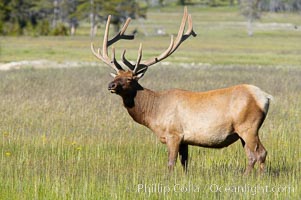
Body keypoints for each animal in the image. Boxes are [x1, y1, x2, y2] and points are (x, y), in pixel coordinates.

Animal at [90, 7, 270, 174]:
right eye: (116, 76)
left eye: (129, 79)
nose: (111, 85)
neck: (153, 112)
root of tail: (266, 98)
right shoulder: (185, 140)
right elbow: (185, 163)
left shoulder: (174, 134)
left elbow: (171, 163)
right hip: (241, 132)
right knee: (251, 155)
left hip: (248, 126)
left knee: (260, 153)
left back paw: (255, 177)